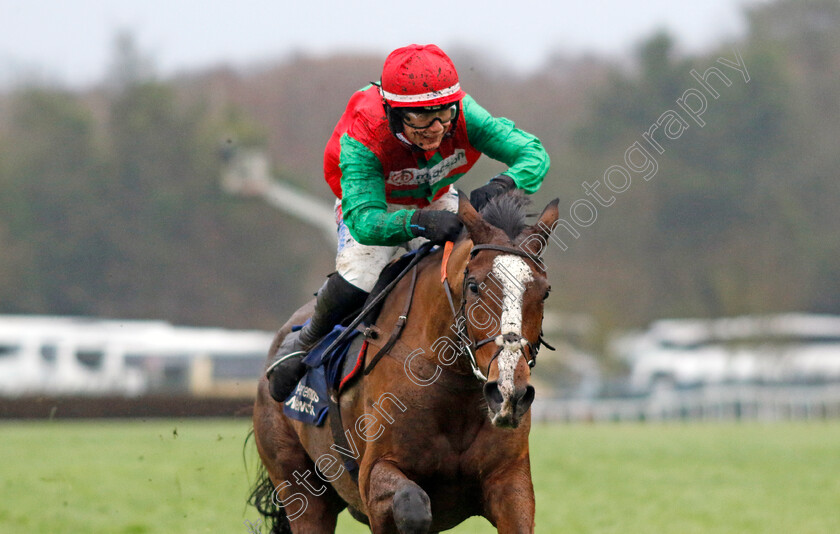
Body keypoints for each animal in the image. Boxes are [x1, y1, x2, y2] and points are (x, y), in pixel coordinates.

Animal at [253, 194, 560, 534]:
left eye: (545, 291)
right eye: (474, 286)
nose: (508, 393)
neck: (454, 389)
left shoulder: (510, 481)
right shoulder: (374, 477)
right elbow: (412, 507)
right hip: (300, 489)